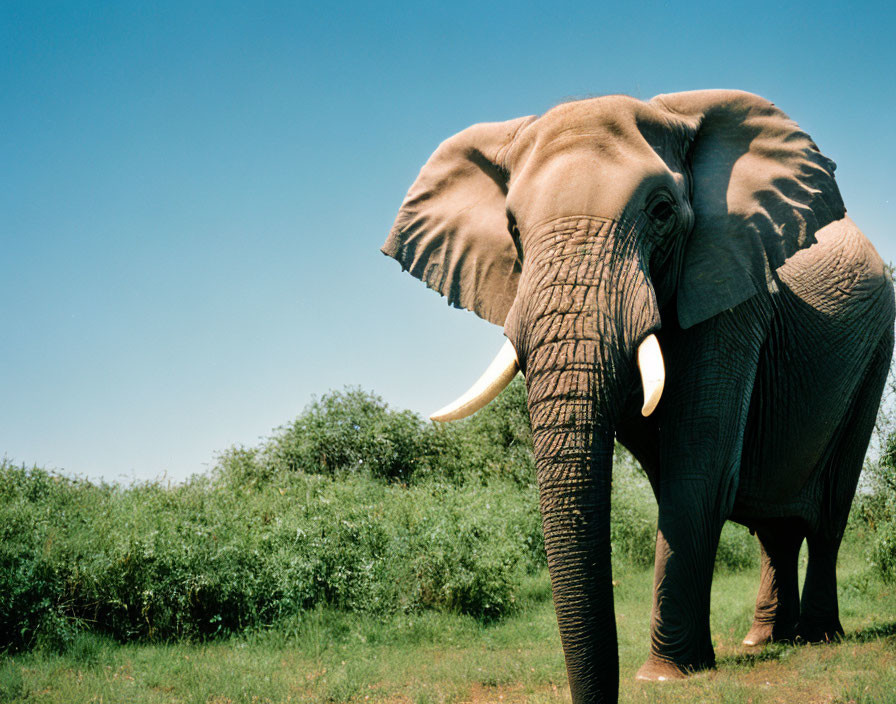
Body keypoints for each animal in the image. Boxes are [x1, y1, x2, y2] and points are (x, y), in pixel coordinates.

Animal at [380, 91, 896, 700]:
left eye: (662, 212)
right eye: (512, 227)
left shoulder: (732, 288)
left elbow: (698, 467)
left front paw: (667, 674)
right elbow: (669, 466)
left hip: (876, 346)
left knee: (830, 509)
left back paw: (816, 637)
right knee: (777, 527)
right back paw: (764, 641)